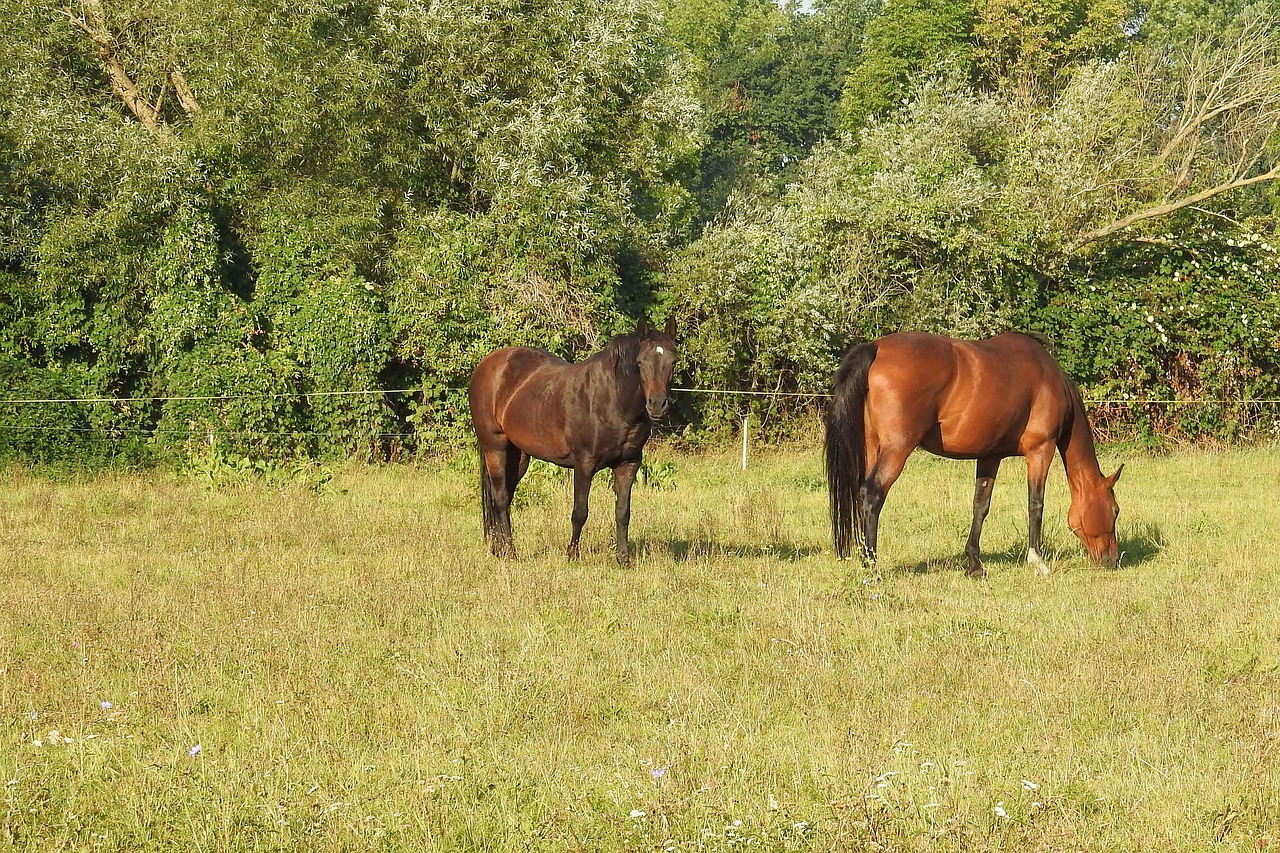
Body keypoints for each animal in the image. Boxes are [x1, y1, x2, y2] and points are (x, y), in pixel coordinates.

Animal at [465, 315, 675, 560]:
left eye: (673, 362)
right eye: (640, 362)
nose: (657, 405)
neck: (613, 399)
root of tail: (487, 364)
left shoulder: (628, 464)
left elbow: (623, 513)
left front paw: (623, 559)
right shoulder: (584, 463)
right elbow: (580, 512)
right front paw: (572, 555)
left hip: (518, 455)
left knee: (504, 498)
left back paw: (499, 550)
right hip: (495, 446)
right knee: (499, 499)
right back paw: (510, 552)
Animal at [829, 327, 1121, 573]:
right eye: (1115, 510)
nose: (1112, 560)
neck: (1050, 380)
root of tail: (876, 348)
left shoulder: (990, 456)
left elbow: (980, 506)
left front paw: (974, 563)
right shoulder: (1041, 450)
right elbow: (1035, 503)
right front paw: (1037, 561)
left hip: (872, 447)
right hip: (897, 449)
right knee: (872, 494)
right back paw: (871, 565)